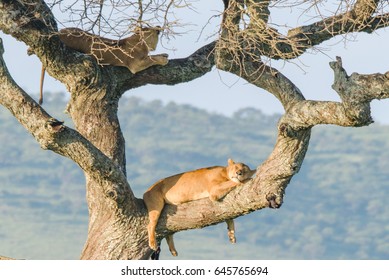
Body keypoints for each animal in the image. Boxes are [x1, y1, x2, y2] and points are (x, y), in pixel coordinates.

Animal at [38, 26, 167, 104]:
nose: (158, 28)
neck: (140, 41)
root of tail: (59, 32)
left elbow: (152, 56)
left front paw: (164, 54)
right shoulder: (136, 64)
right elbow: (151, 59)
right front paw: (163, 59)